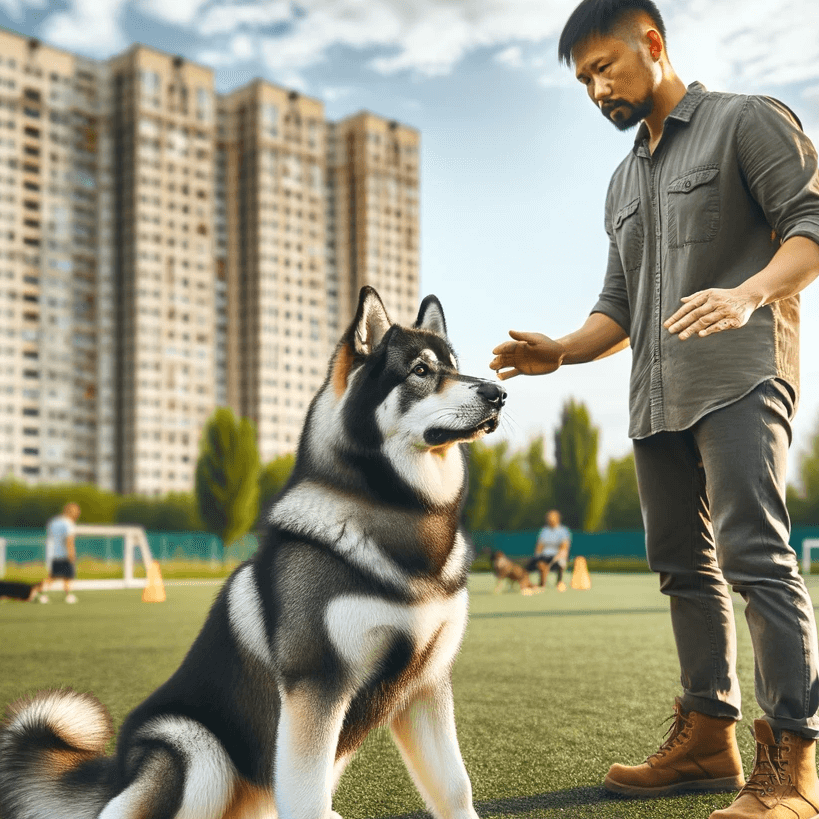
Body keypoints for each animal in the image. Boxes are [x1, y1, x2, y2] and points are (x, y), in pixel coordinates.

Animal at [0, 288, 506, 819]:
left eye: (456, 367)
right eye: (421, 371)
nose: (497, 393)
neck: (406, 517)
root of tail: (118, 770)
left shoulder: (426, 685)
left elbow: (454, 787)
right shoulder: (317, 684)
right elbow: (306, 797)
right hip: (194, 748)